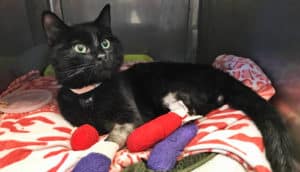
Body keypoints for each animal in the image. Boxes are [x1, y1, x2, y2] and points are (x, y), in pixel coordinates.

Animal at [42, 4, 296, 171]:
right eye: (80, 48)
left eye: (104, 43)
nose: (102, 55)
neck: (91, 92)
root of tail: (218, 73)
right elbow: (84, 129)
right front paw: (85, 138)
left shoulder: (130, 116)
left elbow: (113, 136)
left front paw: (97, 153)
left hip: (169, 91)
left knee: (192, 112)